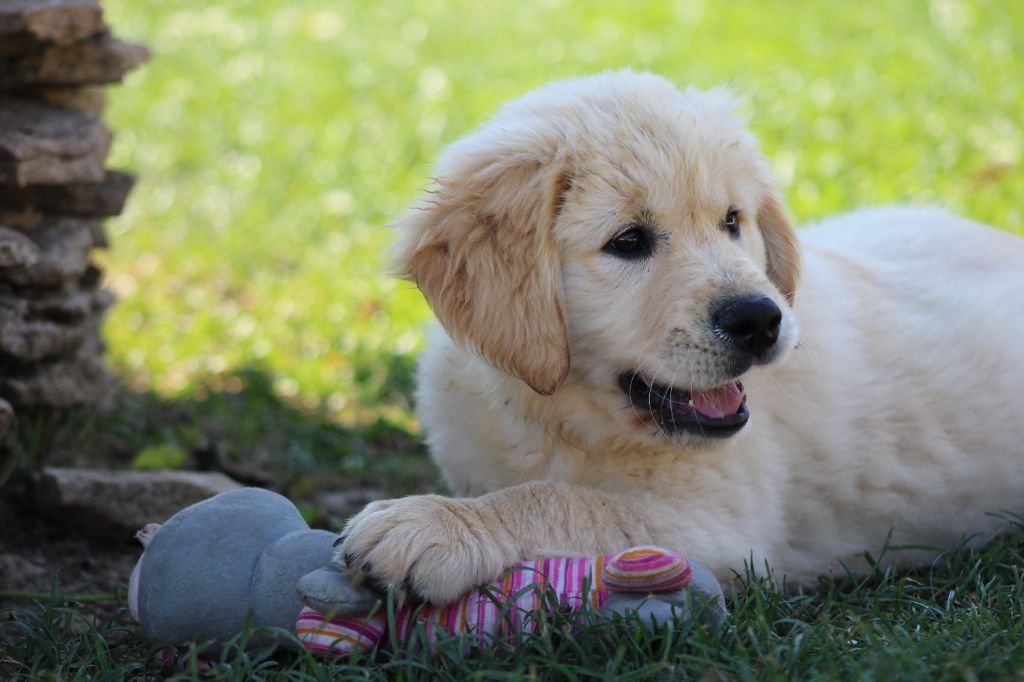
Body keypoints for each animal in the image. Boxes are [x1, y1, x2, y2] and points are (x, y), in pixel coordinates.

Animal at [337, 69, 1024, 602]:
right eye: (629, 241)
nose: (760, 320)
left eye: (732, 221)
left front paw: (433, 524)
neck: (554, 416)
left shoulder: (712, 521)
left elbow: (560, 501)